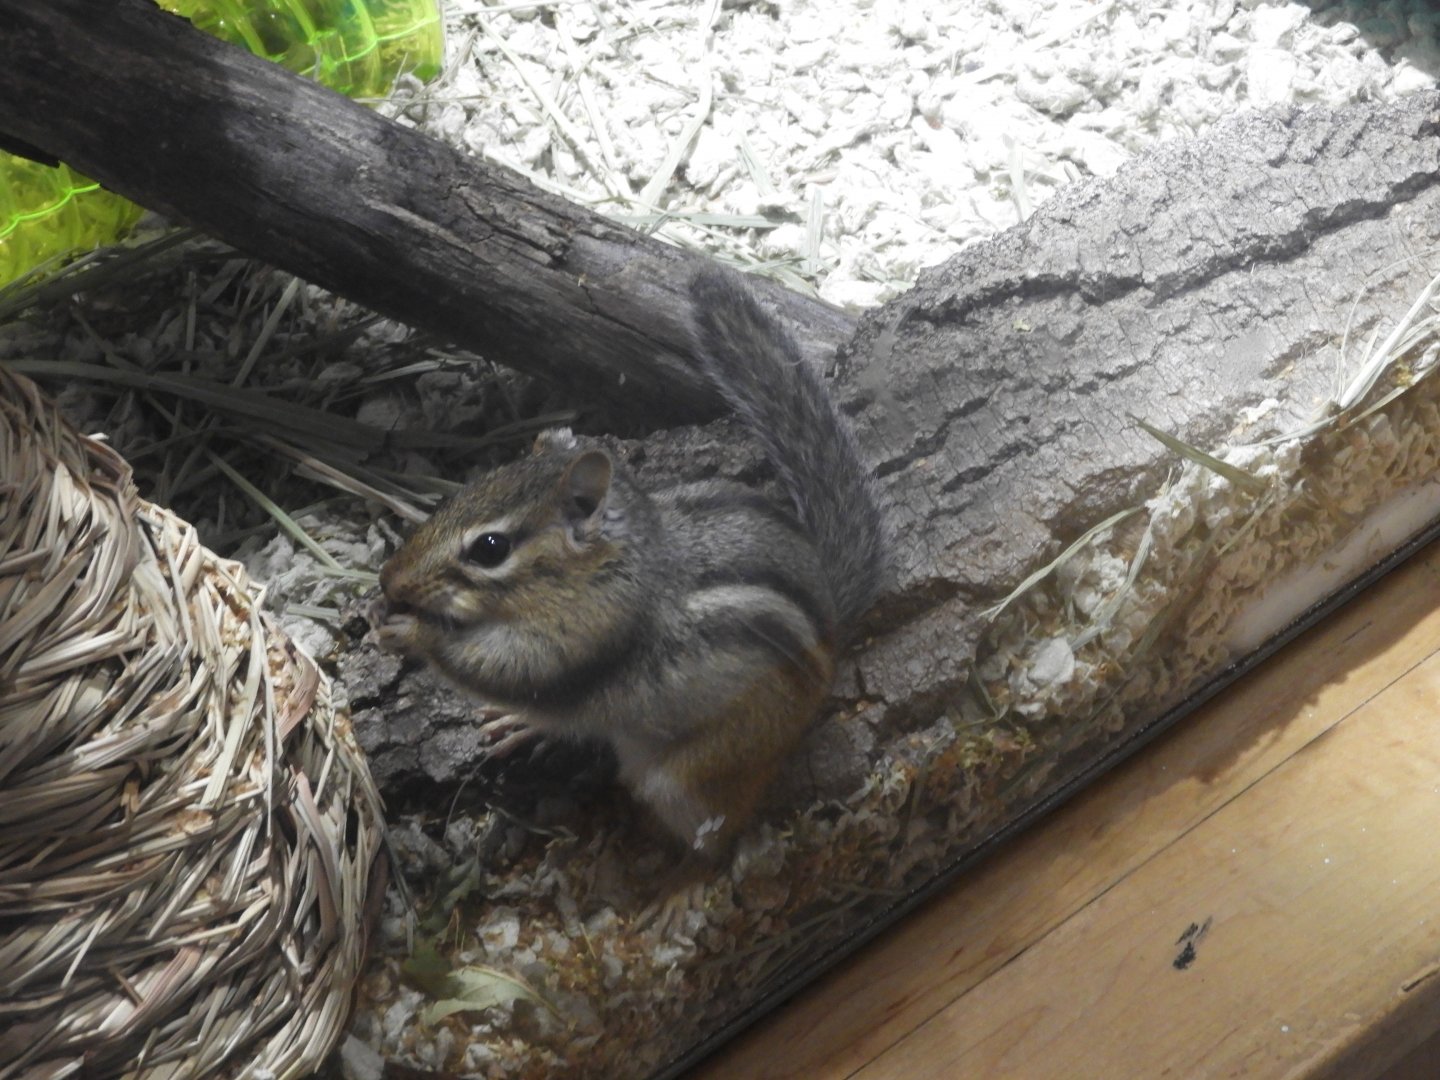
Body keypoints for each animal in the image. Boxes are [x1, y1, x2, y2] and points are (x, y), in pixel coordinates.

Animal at [371, 267, 886, 863]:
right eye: (466, 488)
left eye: (490, 548)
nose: (388, 579)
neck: (614, 563)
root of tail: (831, 629)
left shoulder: (587, 632)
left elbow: (512, 670)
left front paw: (411, 633)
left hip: (700, 769)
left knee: (718, 830)